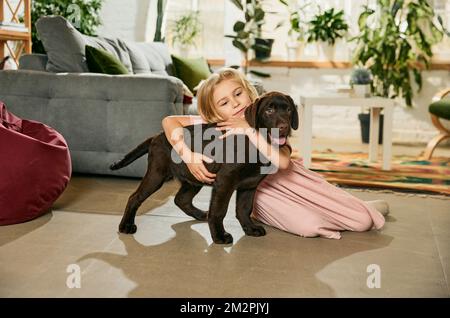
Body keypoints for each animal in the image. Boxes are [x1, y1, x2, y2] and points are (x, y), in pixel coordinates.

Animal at [110, 90, 298, 245]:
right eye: (269, 111)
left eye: (288, 110)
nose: (284, 127)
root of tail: (157, 135)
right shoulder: (225, 180)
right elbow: (219, 210)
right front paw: (219, 236)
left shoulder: (250, 185)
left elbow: (244, 209)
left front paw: (250, 229)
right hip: (157, 174)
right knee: (135, 197)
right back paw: (125, 226)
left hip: (193, 178)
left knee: (180, 199)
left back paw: (200, 214)